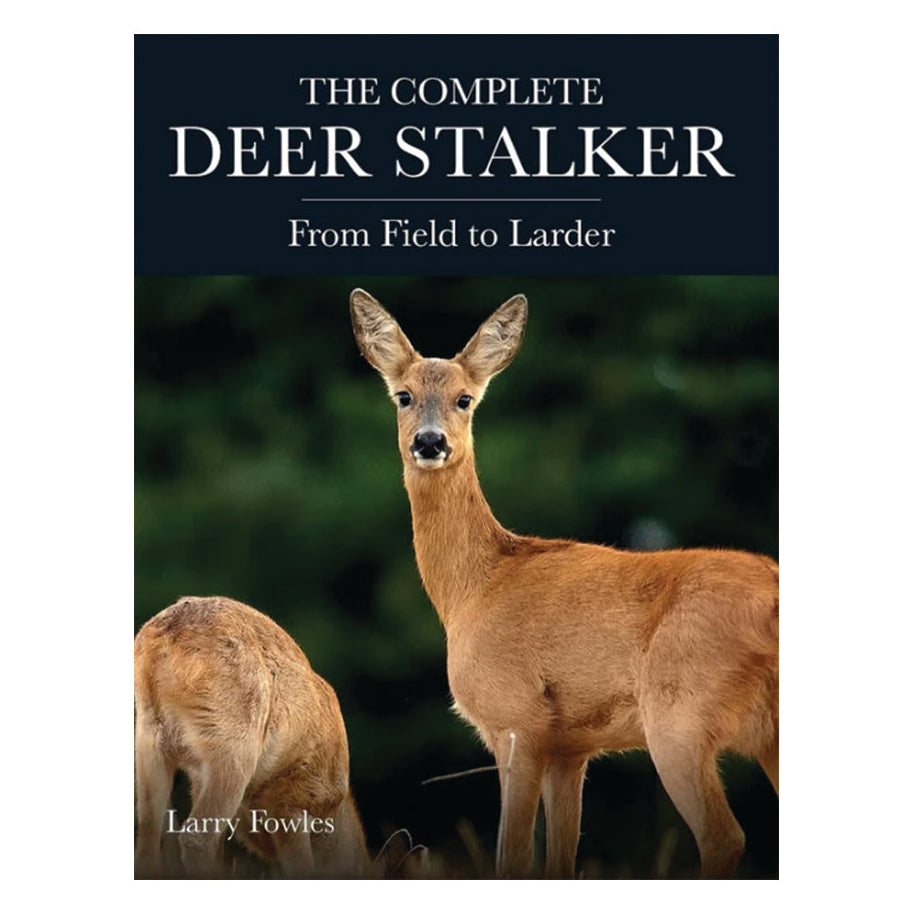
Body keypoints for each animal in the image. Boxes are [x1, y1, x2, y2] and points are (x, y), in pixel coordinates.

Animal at [134, 595, 371, 878]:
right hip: (232, 743)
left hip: (150, 734)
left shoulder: (199, 777)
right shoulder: (293, 799)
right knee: (195, 837)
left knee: (148, 835)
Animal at [349, 288, 779, 879]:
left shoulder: (515, 718)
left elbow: (513, 857)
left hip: (680, 711)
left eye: (465, 399)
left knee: (724, 835)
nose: (430, 442)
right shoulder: (570, 748)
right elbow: (560, 859)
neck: (474, 589)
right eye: (403, 396)